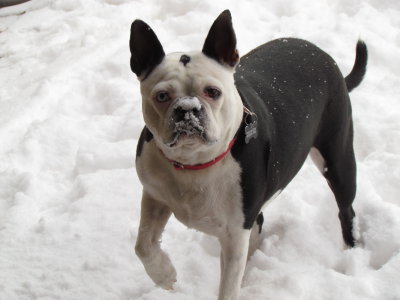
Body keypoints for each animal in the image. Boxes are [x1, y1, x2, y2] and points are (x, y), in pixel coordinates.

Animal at [130, 9, 368, 300]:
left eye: (213, 92)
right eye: (162, 96)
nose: (187, 108)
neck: (194, 164)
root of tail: (325, 57)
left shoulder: (234, 234)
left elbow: (228, 288)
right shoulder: (155, 194)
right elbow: (143, 245)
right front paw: (165, 275)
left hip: (337, 158)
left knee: (346, 209)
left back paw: (351, 253)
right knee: (259, 223)